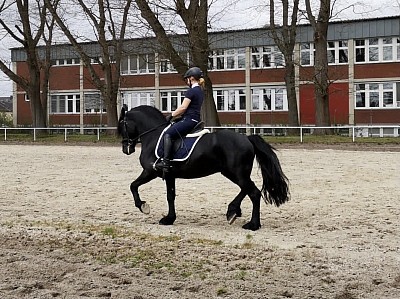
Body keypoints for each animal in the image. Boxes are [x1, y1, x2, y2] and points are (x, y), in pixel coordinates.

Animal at [117, 105, 290, 232]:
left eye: (122, 126)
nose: (126, 149)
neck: (153, 136)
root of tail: (246, 138)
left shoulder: (150, 171)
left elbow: (133, 186)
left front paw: (143, 207)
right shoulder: (169, 175)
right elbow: (169, 196)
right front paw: (169, 218)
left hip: (237, 173)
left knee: (254, 193)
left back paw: (252, 224)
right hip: (234, 173)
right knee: (248, 190)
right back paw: (233, 211)